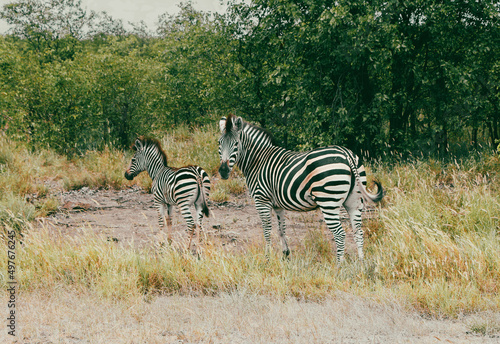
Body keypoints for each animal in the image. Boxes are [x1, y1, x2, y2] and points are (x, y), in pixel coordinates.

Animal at [218, 114, 382, 262]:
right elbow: (281, 229)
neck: (258, 160)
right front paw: (285, 255)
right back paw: (361, 264)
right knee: (358, 231)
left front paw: (267, 258)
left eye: (236, 144)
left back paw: (339, 266)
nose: (223, 171)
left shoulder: (261, 200)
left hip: (328, 202)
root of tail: (346, 153)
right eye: (219, 143)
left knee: (340, 234)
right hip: (354, 200)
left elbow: (267, 229)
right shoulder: (277, 204)